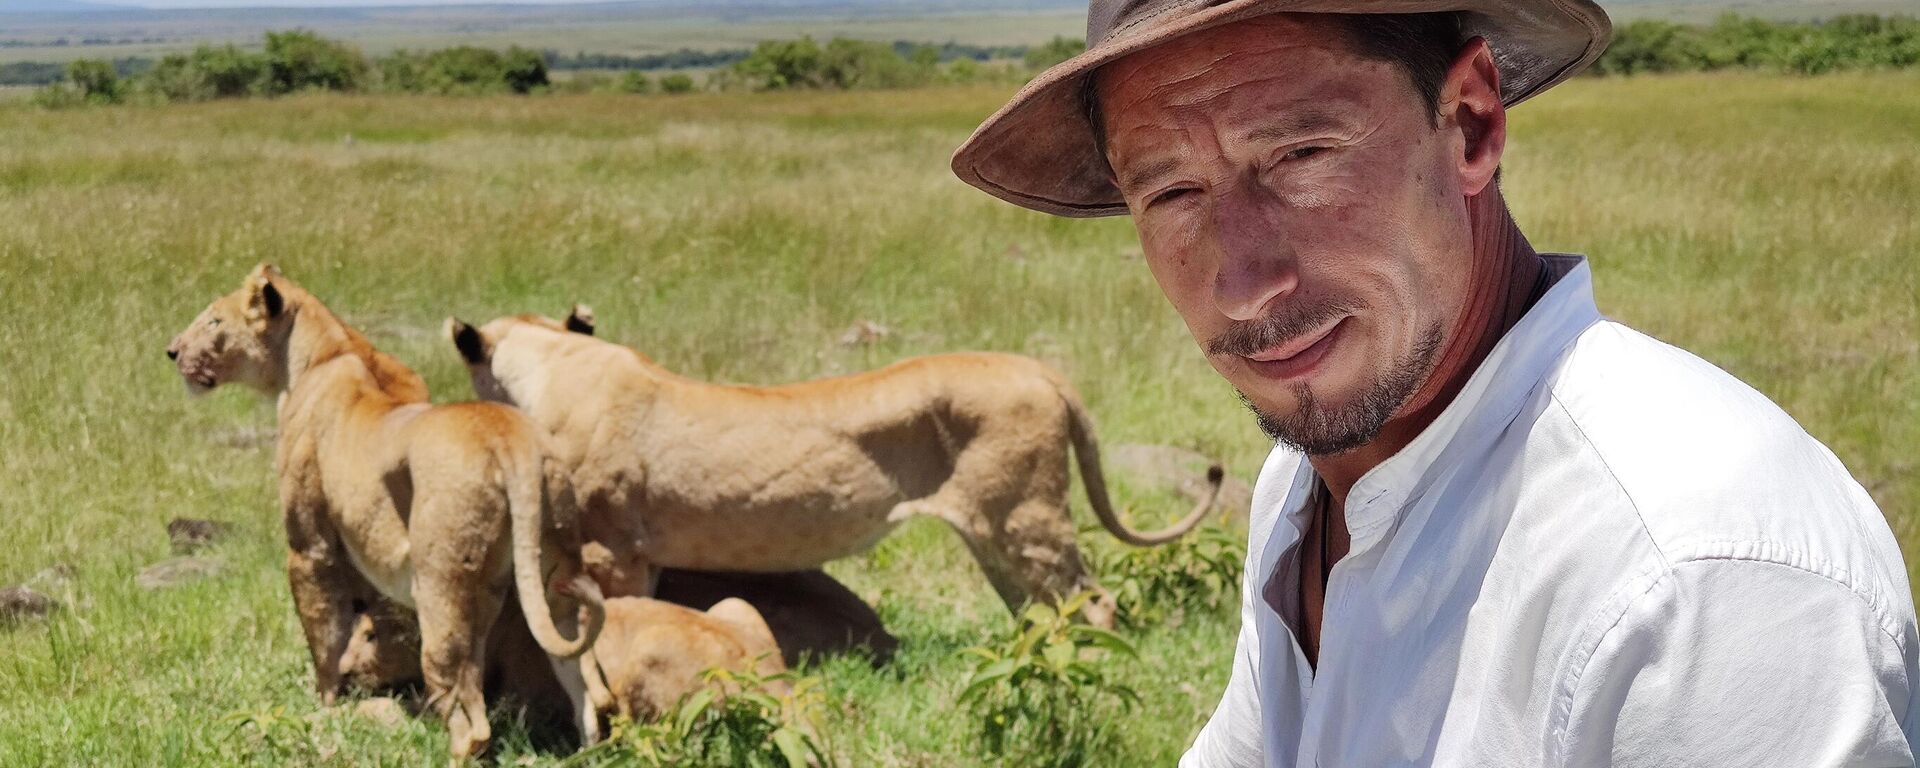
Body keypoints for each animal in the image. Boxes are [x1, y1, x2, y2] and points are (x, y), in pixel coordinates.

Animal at [172, 264, 606, 756]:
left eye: (214, 321)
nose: (172, 350)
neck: (329, 349)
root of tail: (513, 442)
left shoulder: (311, 545)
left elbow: (324, 632)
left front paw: (326, 703)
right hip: (551, 569)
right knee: (583, 680)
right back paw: (588, 750)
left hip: (439, 581)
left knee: (466, 709)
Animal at [447, 303, 1221, 625]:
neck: (551, 362)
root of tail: (1039, 369)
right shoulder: (640, 553)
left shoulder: (615, 547)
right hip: (994, 534)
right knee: (1038, 608)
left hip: (1025, 520)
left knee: (1096, 602)